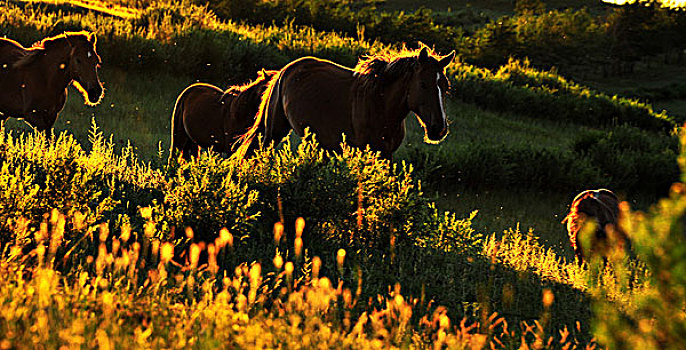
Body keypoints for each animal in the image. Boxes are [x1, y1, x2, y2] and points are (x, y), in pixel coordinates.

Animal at [238, 45, 456, 159]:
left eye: (445, 86)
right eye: (423, 84)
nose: (439, 129)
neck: (381, 106)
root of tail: (285, 71)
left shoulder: (386, 155)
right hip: (273, 131)